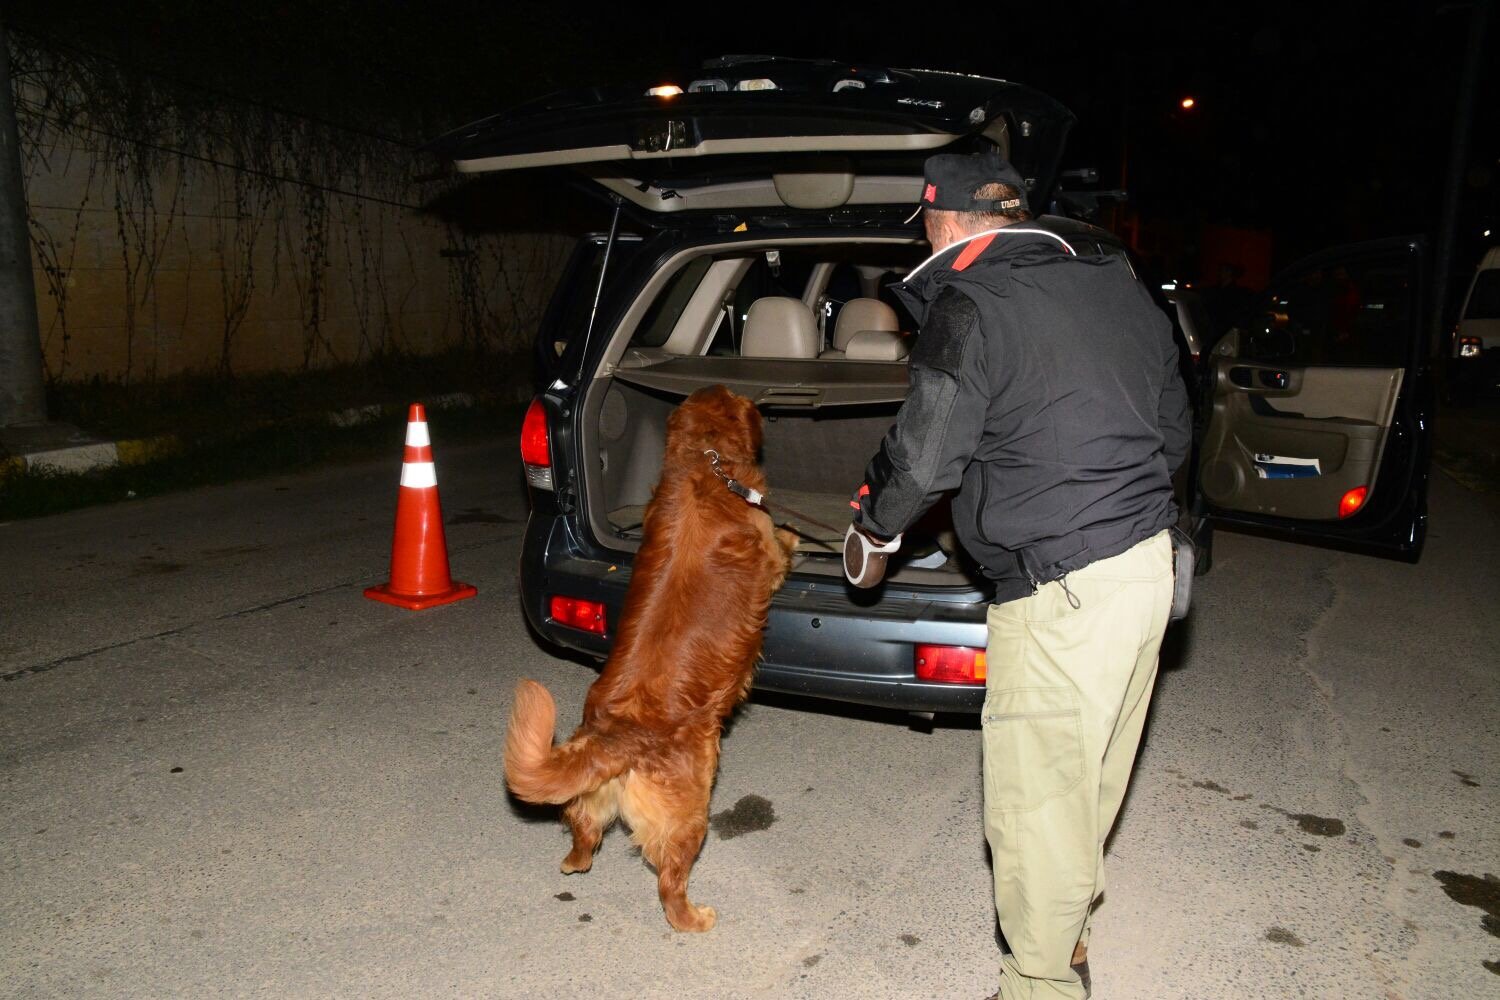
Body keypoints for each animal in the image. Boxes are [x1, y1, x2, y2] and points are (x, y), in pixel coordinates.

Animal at [507, 383, 798, 929]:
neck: (705, 466)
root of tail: (615, 739)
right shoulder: (767, 551)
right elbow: (780, 546)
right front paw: (795, 537)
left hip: (593, 802)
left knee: (584, 833)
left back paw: (574, 862)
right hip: (689, 815)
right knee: (669, 883)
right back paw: (694, 917)